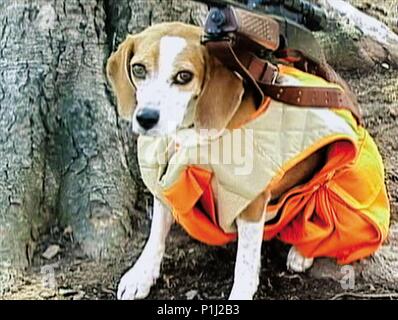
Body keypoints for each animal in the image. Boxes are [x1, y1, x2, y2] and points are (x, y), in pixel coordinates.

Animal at [107, 22, 322, 300]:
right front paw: (141, 275)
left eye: (184, 76)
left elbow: (245, 263)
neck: (190, 133)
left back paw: (302, 252)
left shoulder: (252, 201)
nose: (146, 118)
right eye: (139, 69)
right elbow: (156, 234)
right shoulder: (164, 182)